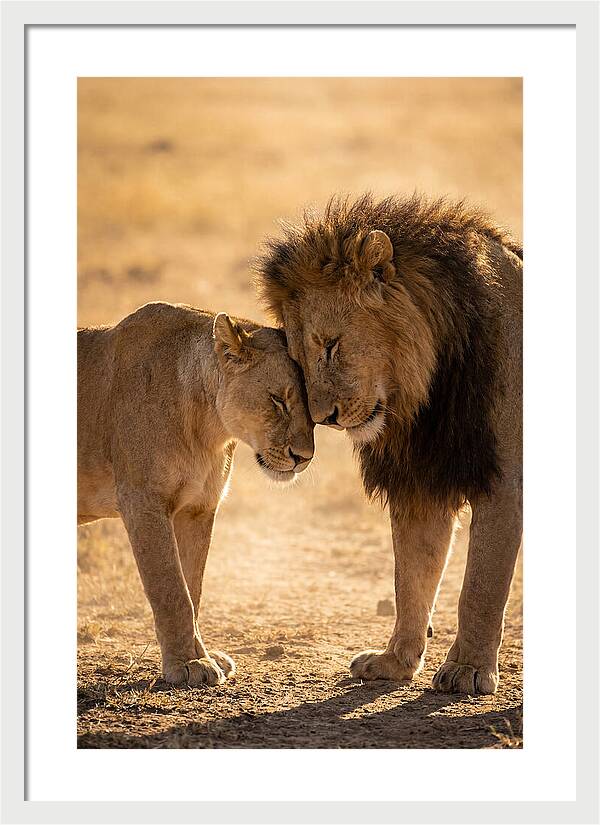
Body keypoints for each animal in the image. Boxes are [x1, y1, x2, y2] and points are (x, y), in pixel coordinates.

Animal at [78, 301, 314, 686]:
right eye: (278, 400)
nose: (304, 457)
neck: (208, 428)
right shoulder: (142, 501)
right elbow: (172, 590)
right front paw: (187, 664)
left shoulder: (198, 508)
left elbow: (193, 588)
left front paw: (203, 655)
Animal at [256, 193, 522, 695]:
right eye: (298, 359)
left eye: (331, 345)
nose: (324, 418)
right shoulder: (420, 483)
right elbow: (411, 577)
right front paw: (396, 661)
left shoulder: (504, 482)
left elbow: (480, 586)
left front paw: (467, 669)